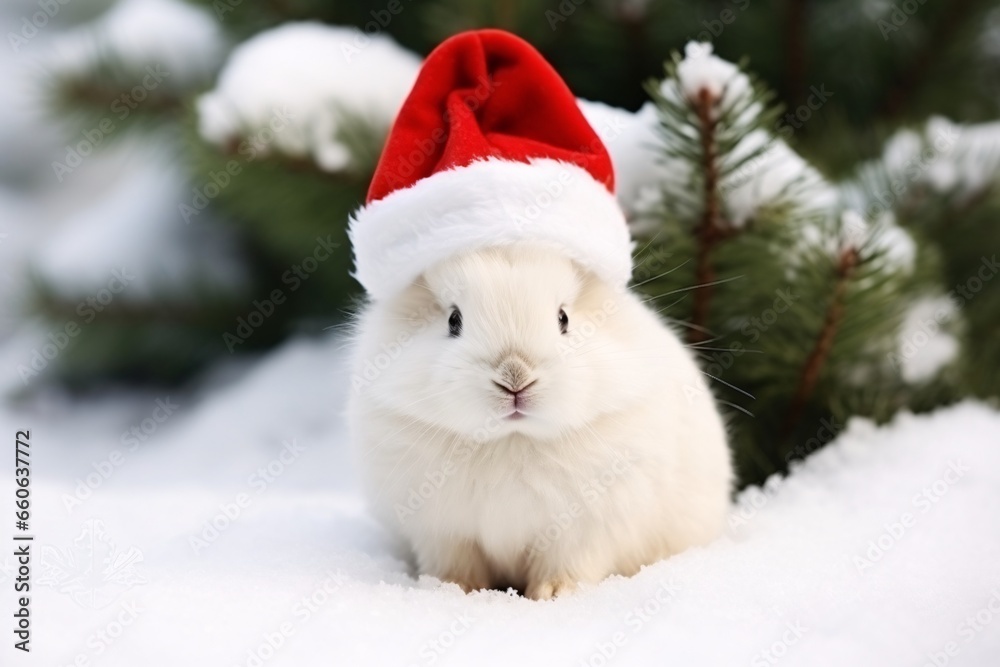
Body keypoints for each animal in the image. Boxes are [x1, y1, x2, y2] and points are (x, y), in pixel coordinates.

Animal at [348, 241, 732, 600]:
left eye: (563, 319)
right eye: (453, 321)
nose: (515, 377)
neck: (511, 439)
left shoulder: (585, 529)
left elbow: (570, 563)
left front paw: (554, 593)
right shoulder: (443, 533)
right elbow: (457, 563)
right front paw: (453, 588)